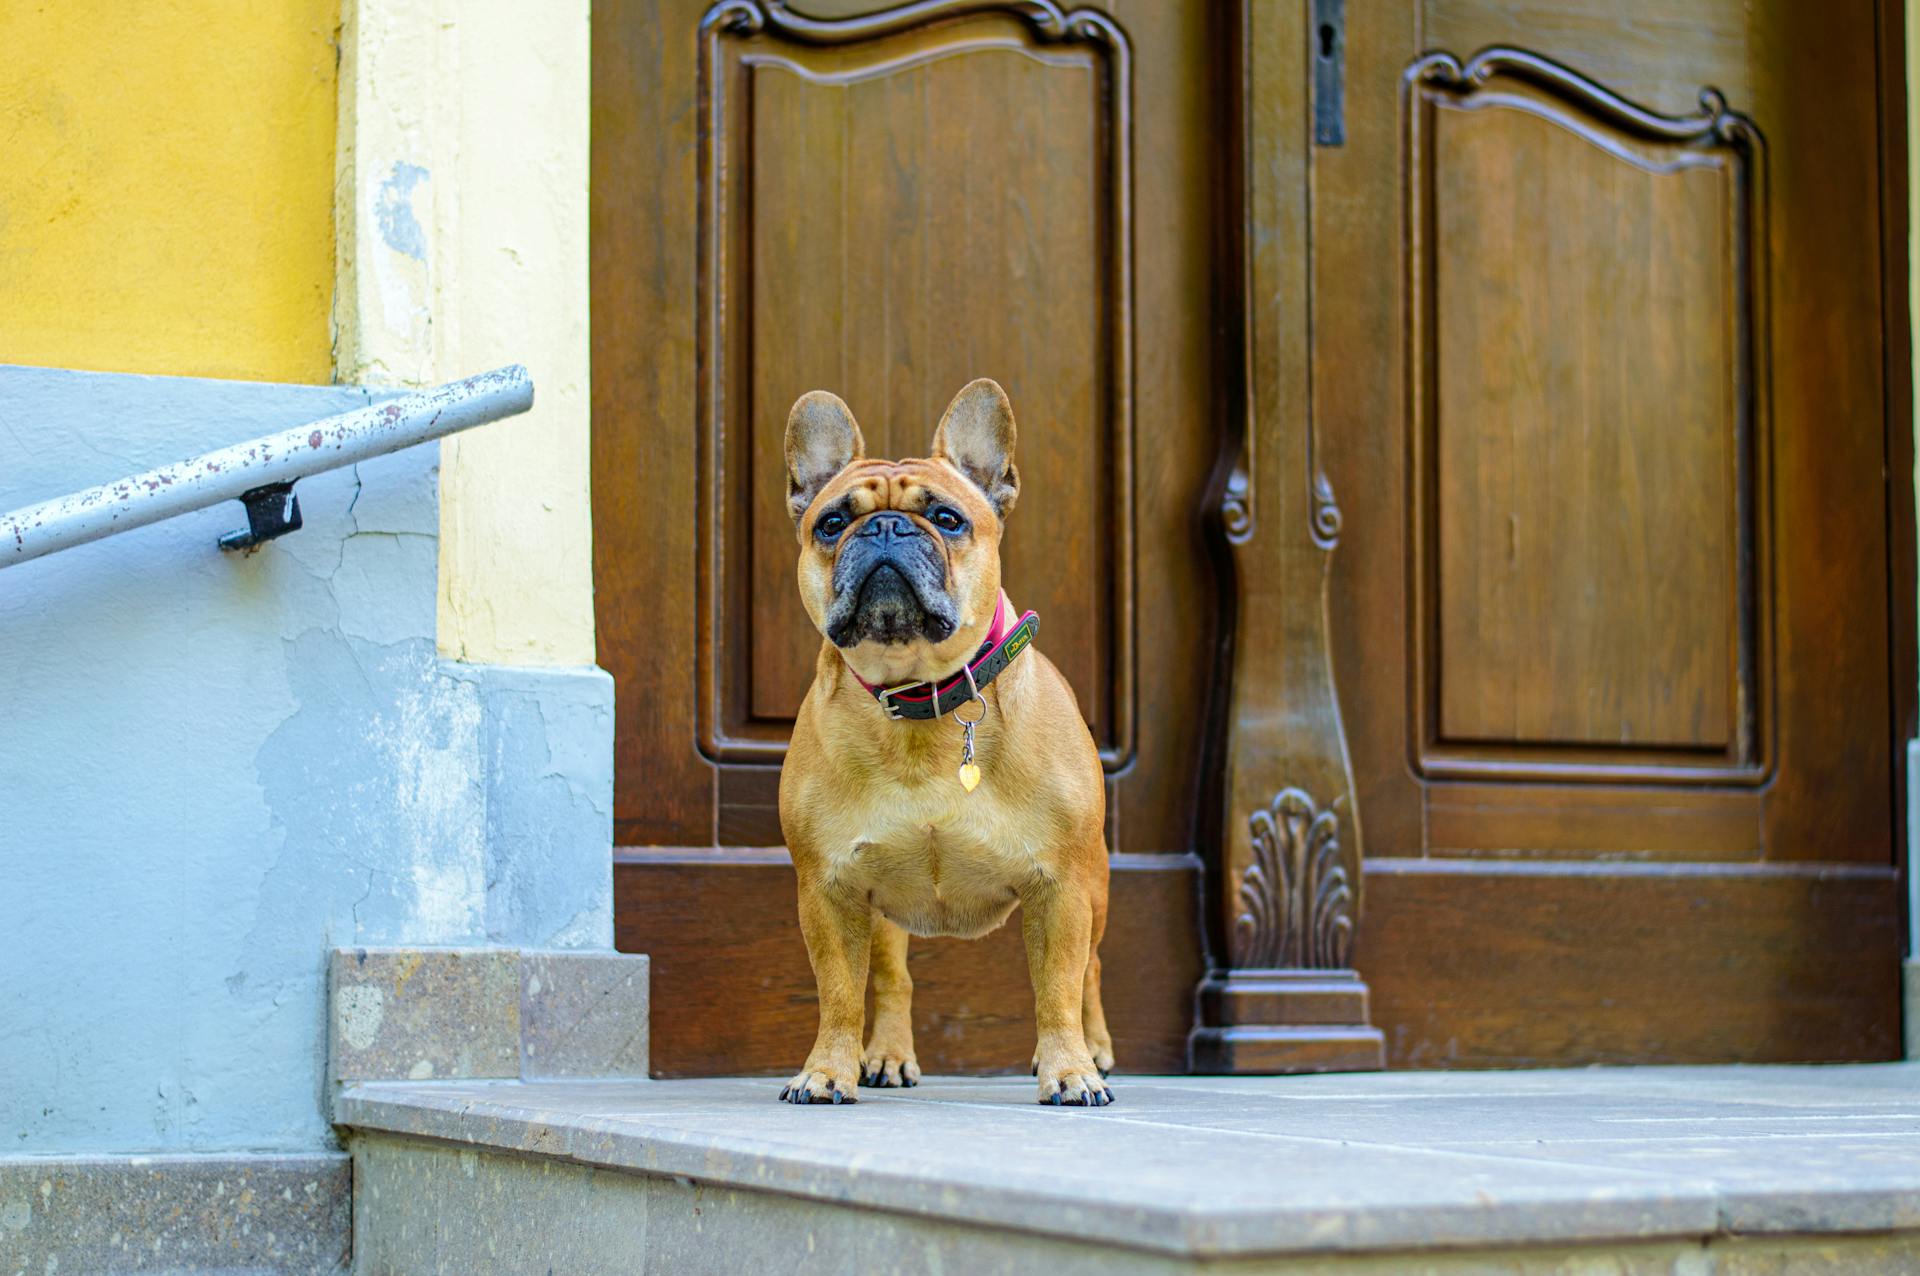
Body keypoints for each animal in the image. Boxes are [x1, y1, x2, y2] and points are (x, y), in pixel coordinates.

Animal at [775, 378, 1121, 1105]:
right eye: (830, 523)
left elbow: (1057, 988)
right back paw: (886, 1056)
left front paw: (1069, 1070)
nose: (885, 527)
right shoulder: (828, 890)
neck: (921, 698)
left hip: (1097, 888)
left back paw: (1096, 1051)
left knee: (1090, 973)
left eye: (948, 517)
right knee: (891, 978)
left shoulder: (1062, 886)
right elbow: (840, 993)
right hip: (880, 908)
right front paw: (826, 1070)